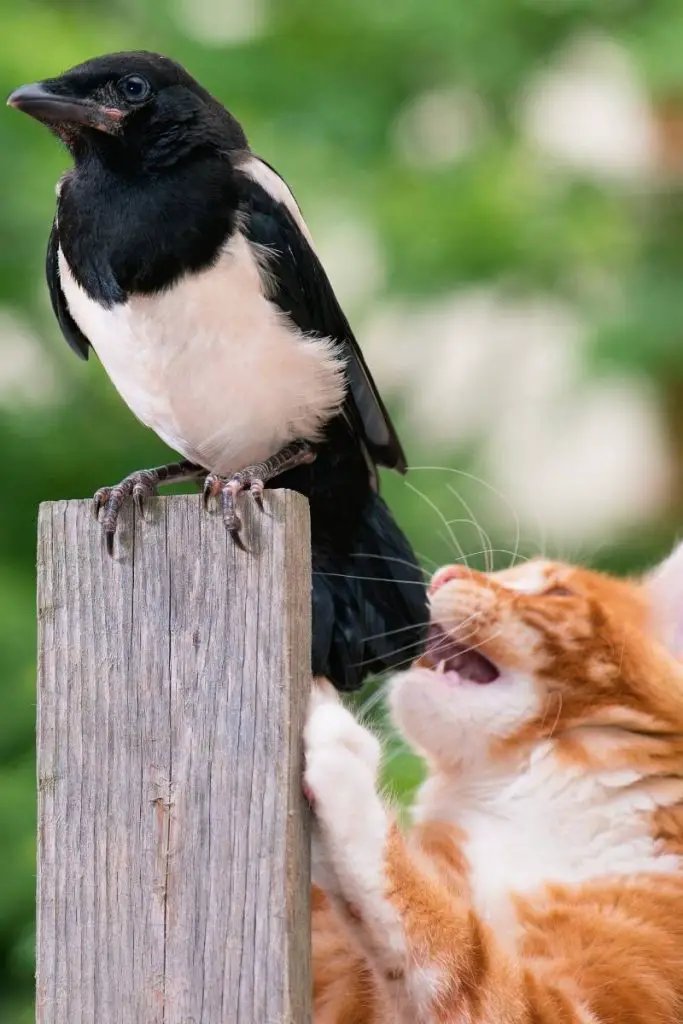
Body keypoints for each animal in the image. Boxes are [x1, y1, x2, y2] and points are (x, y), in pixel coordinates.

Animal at [305, 552, 683, 1024]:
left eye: (559, 592)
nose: (444, 575)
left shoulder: (605, 1006)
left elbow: (466, 960)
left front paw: (348, 770)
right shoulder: (343, 984)